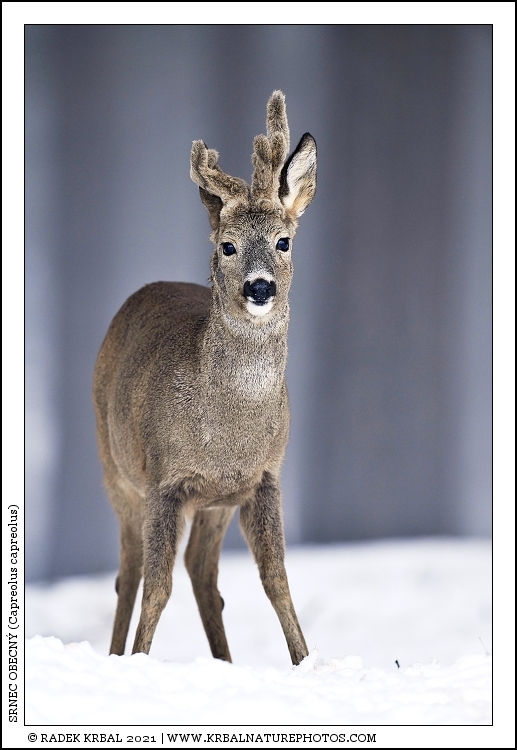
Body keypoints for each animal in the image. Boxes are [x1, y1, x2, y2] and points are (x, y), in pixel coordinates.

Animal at [93, 91, 317, 666]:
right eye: (228, 246)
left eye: (284, 241)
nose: (259, 288)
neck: (227, 435)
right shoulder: (164, 481)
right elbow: (156, 587)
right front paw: (140, 660)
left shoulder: (264, 476)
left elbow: (277, 581)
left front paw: (307, 662)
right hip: (116, 471)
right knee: (128, 574)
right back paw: (115, 656)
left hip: (214, 503)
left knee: (201, 572)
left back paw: (224, 662)